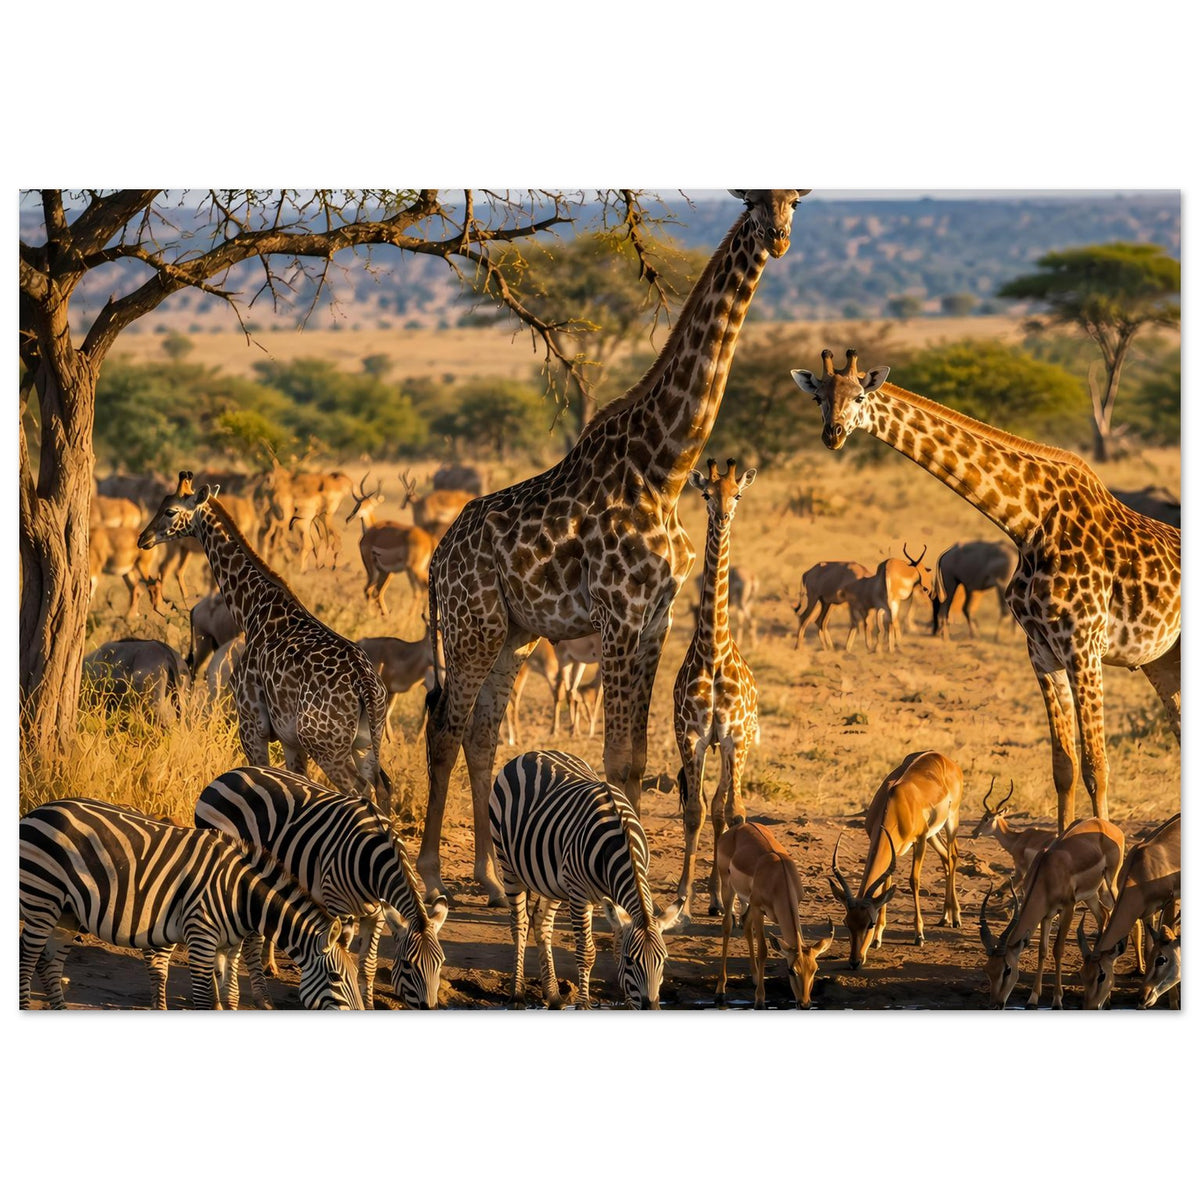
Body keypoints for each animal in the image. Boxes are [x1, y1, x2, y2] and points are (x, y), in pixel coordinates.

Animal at [19, 797, 363, 1011]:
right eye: (335, 979)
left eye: (354, 979)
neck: (240, 894)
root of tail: (36, 811)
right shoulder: (201, 937)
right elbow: (202, 998)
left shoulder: (229, 946)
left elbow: (231, 995)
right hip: (42, 900)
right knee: (28, 959)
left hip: (67, 912)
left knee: (49, 965)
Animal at [195, 766, 447, 1009]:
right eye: (407, 965)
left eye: (440, 963)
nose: (429, 1008)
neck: (374, 860)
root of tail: (228, 774)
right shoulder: (338, 906)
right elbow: (341, 953)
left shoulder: (377, 914)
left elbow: (369, 965)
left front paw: (368, 1004)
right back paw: (258, 998)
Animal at [489, 749, 685, 1010]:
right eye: (631, 961)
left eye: (663, 960)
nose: (650, 1007)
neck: (622, 844)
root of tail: (531, 753)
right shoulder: (580, 895)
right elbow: (587, 952)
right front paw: (583, 1004)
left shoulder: (613, 899)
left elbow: (615, 948)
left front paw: (626, 1003)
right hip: (508, 863)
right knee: (519, 924)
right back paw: (518, 994)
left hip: (552, 880)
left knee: (541, 921)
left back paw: (553, 995)